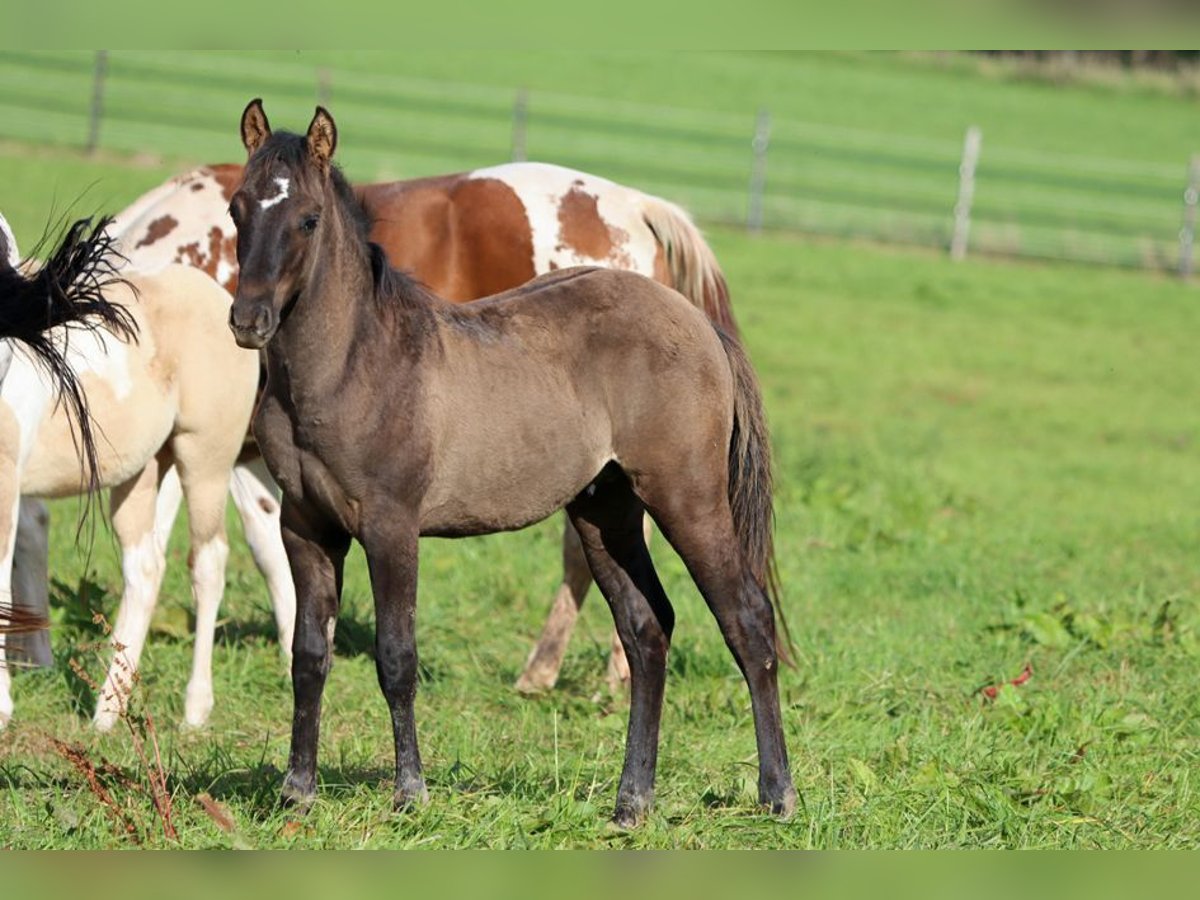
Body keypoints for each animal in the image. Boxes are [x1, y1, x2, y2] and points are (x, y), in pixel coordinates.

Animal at [0, 210, 259, 731]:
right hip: (138, 473)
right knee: (145, 567)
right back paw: (105, 713)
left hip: (205, 458)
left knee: (209, 562)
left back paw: (194, 711)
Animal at [12, 154, 737, 694]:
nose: (28, 654)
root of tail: (636, 204)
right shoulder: (266, 462)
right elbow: (271, 551)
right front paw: (295, 646)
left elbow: (161, 554)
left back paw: (590, 673)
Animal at [227, 100, 795, 826]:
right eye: (238, 208)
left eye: (307, 218)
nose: (249, 320)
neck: (355, 363)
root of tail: (697, 323)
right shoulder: (306, 529)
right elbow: (308, 656)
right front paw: (296, 790)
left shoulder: (390, 529)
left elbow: (395, 658)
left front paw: (410, 793)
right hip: (605, 512)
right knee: (647, 630)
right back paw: (631, 801)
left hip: (687, 499)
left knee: (747, 621)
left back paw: (777, 794)